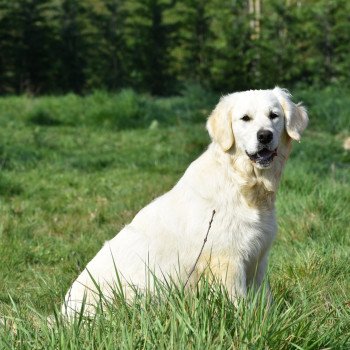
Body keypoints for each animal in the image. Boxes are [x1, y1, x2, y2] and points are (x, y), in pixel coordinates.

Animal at [61, 87, 308, 318]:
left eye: (274, 115)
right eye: (245, 118)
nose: (264, 136)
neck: (242, 184)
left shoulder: (258, 258)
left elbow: (265, 301)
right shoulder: (227, 261)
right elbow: (238, 304)